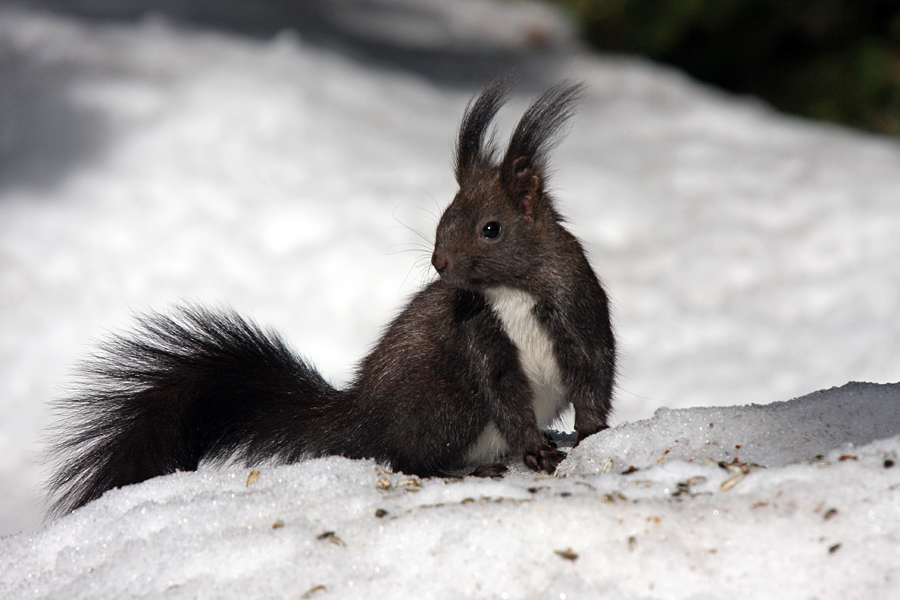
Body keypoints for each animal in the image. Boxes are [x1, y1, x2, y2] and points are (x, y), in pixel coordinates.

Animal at [45, 79, 616, 516]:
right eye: (445, 214)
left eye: (490, 228)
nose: (440, 263)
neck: (511, 290)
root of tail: (360, 416)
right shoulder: (480, 335)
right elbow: (505, 393)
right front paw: (536, 451)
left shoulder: (577, 311)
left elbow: (593, 375)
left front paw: (590, 434)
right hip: (443, 404)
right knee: (407, 459)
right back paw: (465, 472)